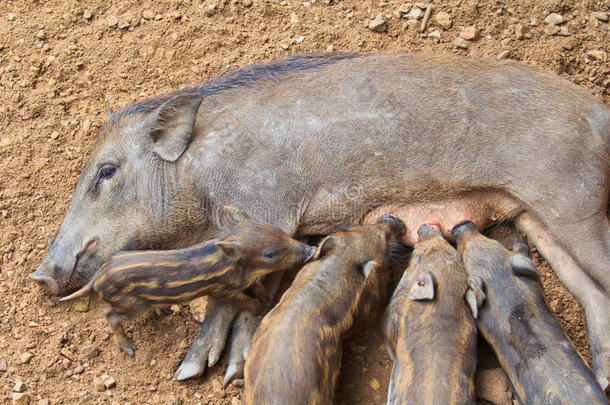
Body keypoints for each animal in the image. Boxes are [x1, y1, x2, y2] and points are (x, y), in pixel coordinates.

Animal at [30, 52, 608, 388]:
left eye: (106, 171)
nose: (41, 275)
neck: (203, 172)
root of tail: (600, 113)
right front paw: (215, 370)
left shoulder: (267, 211)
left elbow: (230, 296)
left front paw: (197, 372)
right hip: (540, 223)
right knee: (594, 296)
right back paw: (601, 376)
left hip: (573, 204)